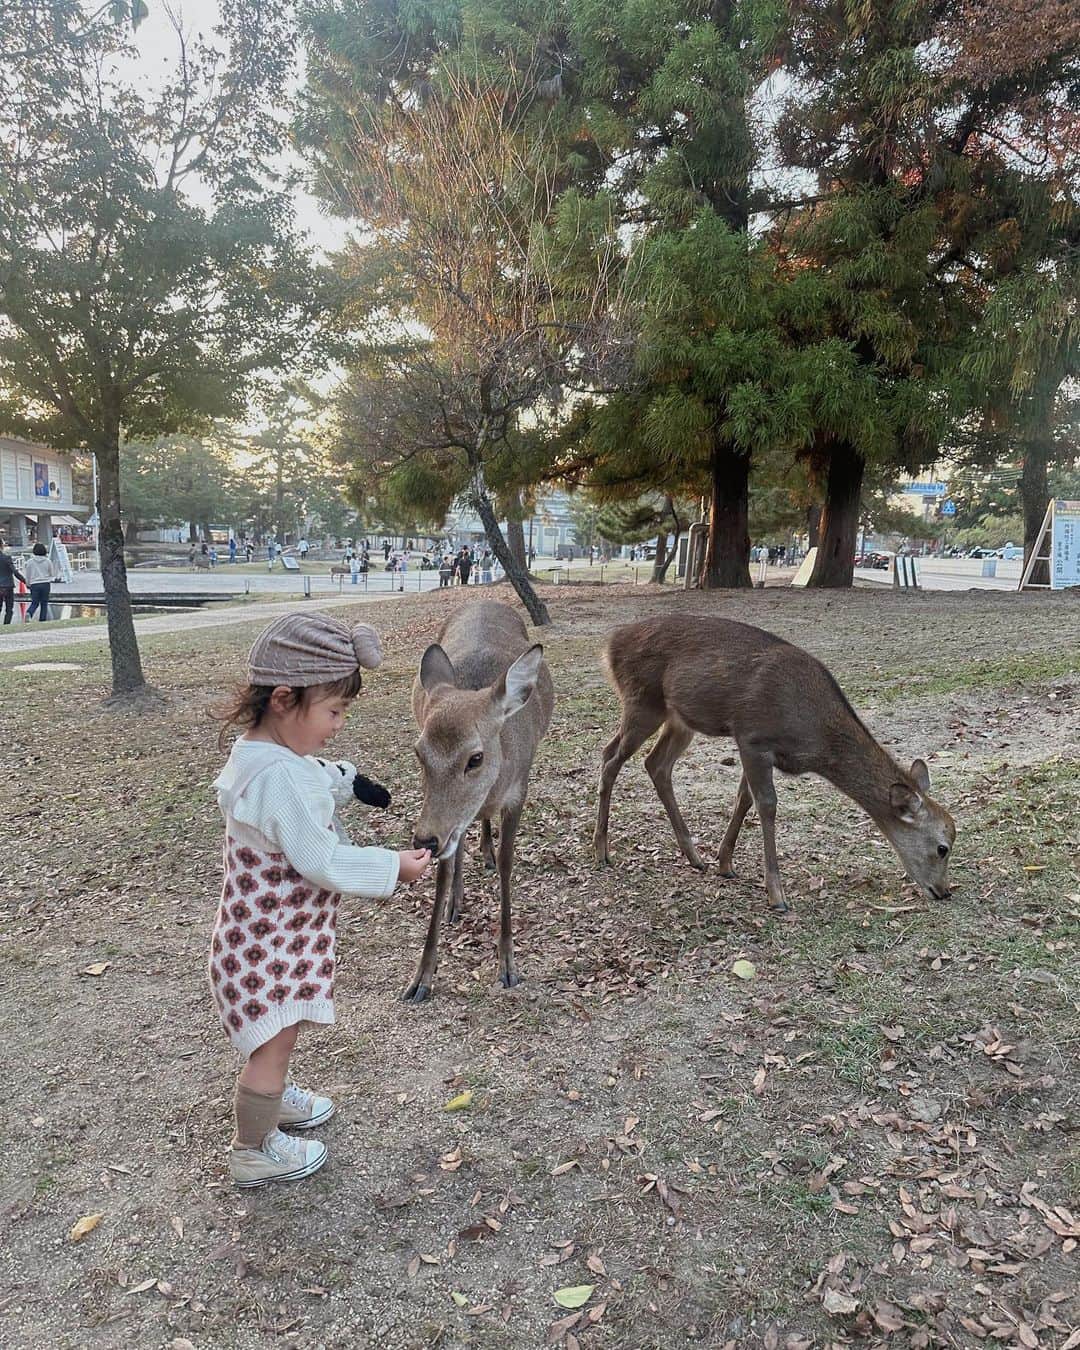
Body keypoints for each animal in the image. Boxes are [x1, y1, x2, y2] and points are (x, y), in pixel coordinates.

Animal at [406, 601, 554, 1002]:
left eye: (475, 758)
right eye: (419, 753)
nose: (425, 839)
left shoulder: (519, 790)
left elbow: (506, 862)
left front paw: (507, 966)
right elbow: (443, 871)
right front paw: (421, 978)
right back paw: (455, 903)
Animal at [593, 614, 956, 912]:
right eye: (942, 847)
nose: (943, 891)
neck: (816, 739)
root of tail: (610, 645)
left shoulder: (755, 748)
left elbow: (744, 798)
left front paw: (725, 863)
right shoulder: (753, 737)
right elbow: (766, 804)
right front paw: (776, 895)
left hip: (679, 719)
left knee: (655, 764)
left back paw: (694, 857)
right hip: (642, 701)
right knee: (610, 757)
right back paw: (601, 852)